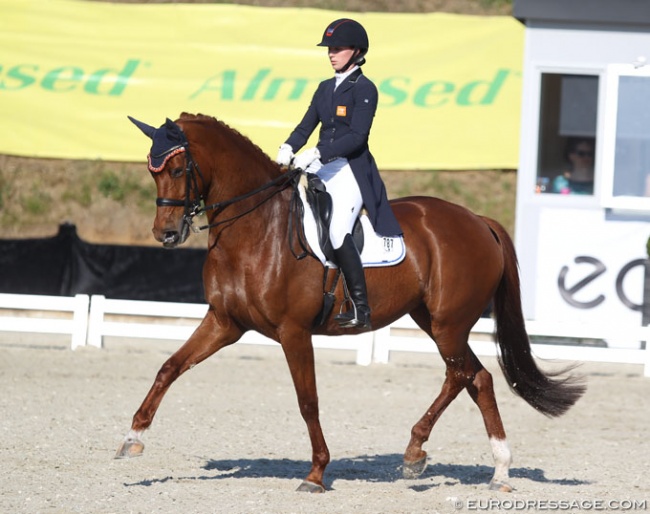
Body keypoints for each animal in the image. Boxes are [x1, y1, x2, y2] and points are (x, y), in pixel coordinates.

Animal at [115, 113, 584, 492]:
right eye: (152, 171)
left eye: (179, 168)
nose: (166, 234)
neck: (256, 227)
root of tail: (478, 221)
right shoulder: (224, 322)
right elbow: (169, 367)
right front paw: (133, 438)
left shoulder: (293, 332)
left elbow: (308, 402)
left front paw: (316, 473)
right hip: (433, 321)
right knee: (474, 378)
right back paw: (473, 465)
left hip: (448, 324)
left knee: (463, 375)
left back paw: (444, 458)